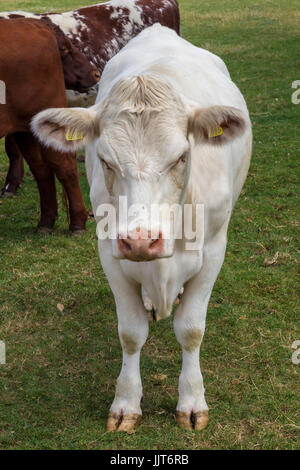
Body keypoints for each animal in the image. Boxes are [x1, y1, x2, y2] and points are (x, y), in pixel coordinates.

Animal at [0, 19, 88, 232]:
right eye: (65, 49)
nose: (96, 73)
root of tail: (35, 22)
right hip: (25, 129)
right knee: (41, 168)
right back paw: (46, 222)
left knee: (64, 165)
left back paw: (77, 224)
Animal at [31, 23, 252, 432]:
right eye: (104, 159)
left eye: (181, 156)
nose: (140, 241)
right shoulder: (109, 251)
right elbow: (131, 333)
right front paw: (126, 403)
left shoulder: (215, 248)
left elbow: (191, 329)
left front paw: (192, 400)